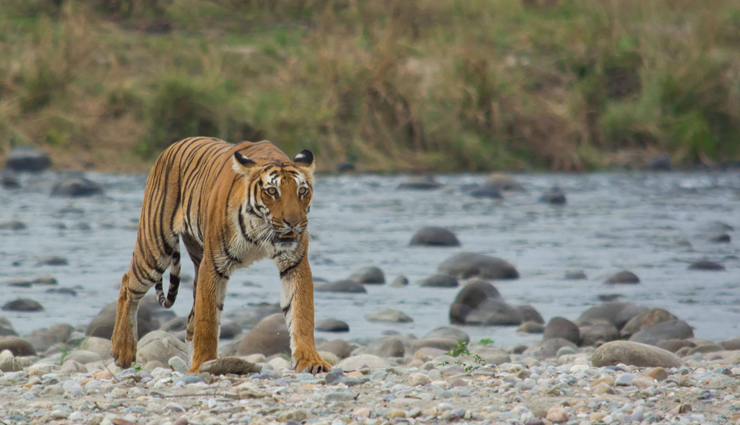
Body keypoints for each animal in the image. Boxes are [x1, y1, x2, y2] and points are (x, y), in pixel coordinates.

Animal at [110, 137, 331, 374]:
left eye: (302, 191)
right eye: (272, 192)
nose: (293, 222)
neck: (260, 230)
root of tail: (171, 147)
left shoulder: (295, 263)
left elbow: (301, 313)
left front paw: (310, 360)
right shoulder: (213, 265)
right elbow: (207, 321)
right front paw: (202, 364)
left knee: (190, 319)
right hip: (156, 247)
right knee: (127, 284)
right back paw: (122, 351)